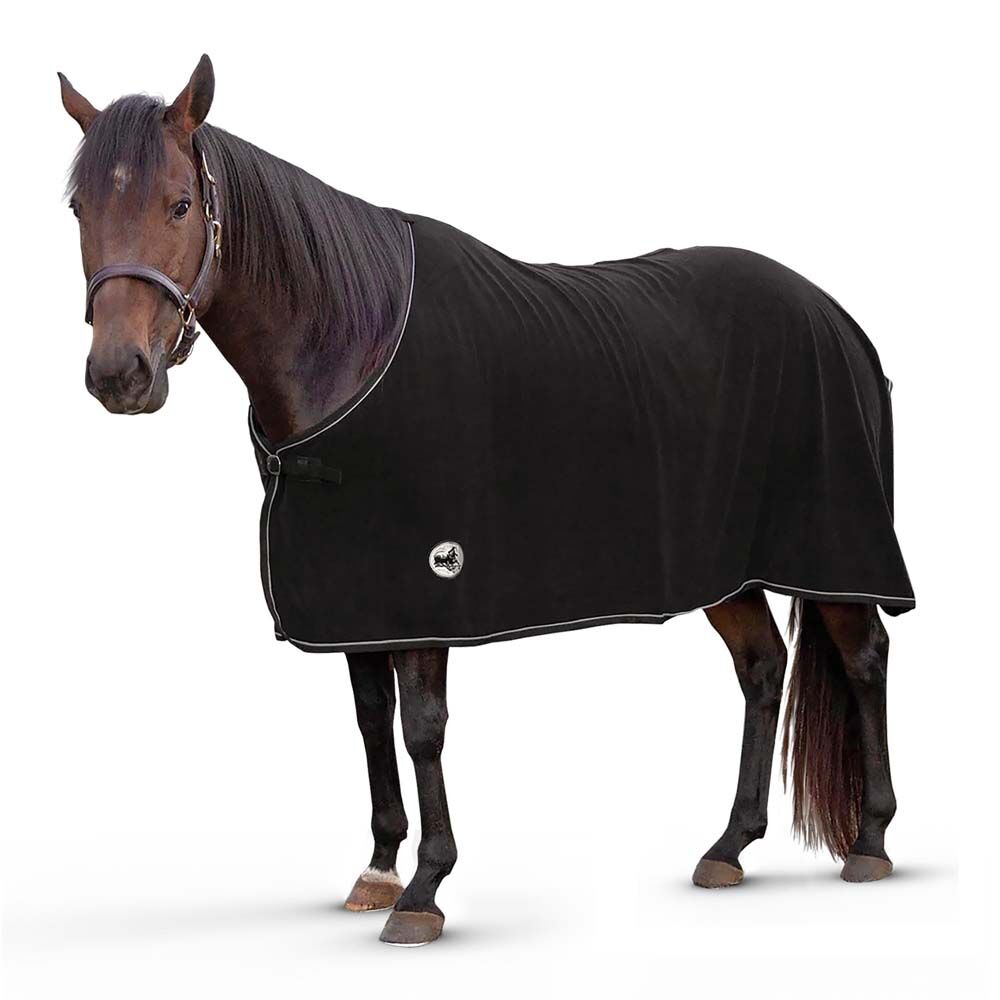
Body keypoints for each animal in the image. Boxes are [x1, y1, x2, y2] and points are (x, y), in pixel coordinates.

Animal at [59, 55, 912, 947]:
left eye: (179, 204)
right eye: (81, 207)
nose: (119, 376)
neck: (352, 344)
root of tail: (834, 315)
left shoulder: (429, 587)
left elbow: (422, 728)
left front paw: (424, 890)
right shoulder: (355, 594)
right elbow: (371, 719)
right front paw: (378, 868)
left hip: (834, 547)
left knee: (864, 657)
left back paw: (871, 841)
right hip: (727, 568)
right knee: (762, 667)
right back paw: (730, 846)